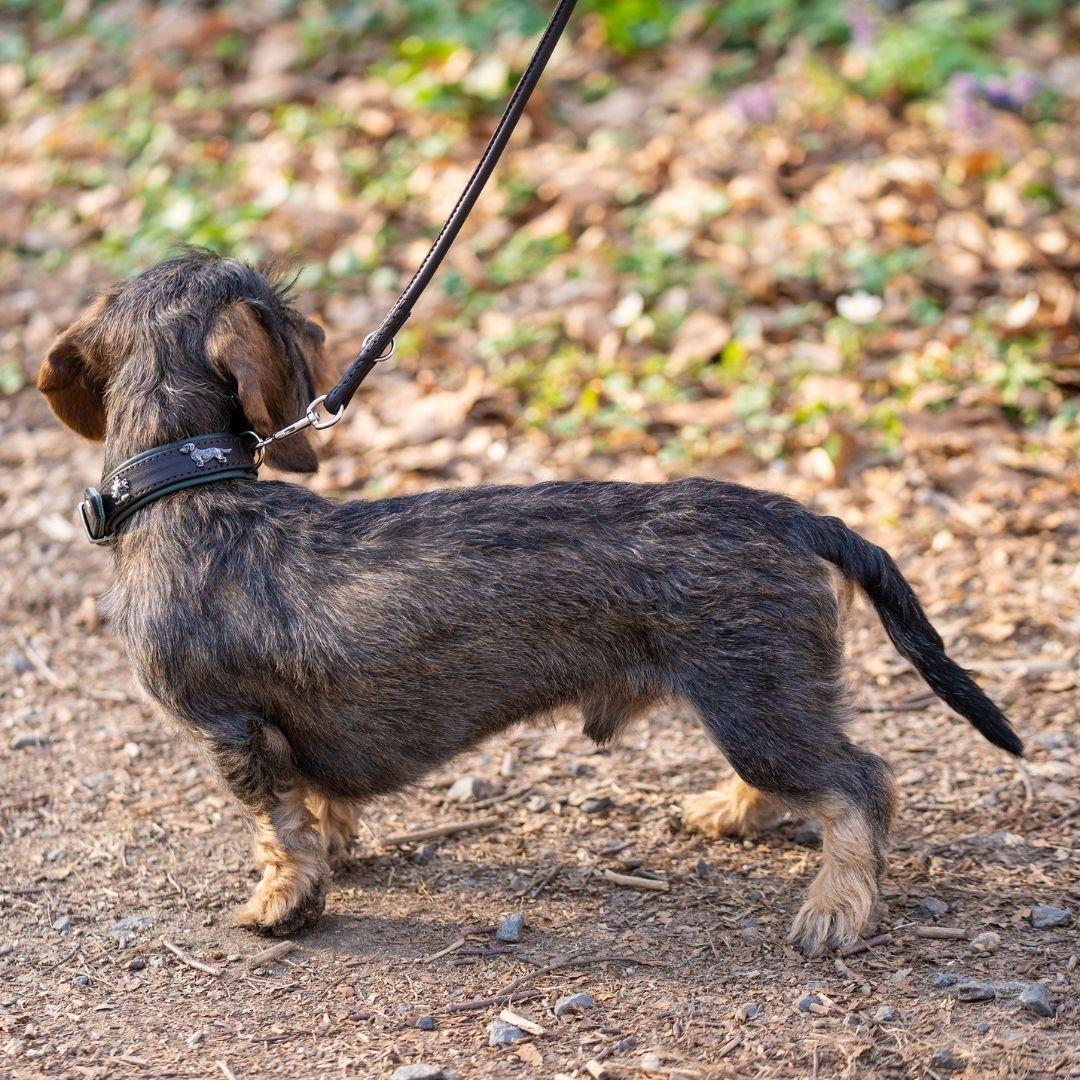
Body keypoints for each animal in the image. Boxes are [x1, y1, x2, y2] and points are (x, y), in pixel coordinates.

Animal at [39, 257, 1019, 959]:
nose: (324, 329)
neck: (186, 490)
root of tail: (790, 513)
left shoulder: (231, 730)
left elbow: (278, 830)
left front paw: (281, 903)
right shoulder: (276, 731)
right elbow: (314, 805)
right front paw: (333, 849)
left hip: (756, 703)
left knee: (861, 783)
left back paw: (836, 907)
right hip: (760, 700)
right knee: (813, 775)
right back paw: (727, 813)